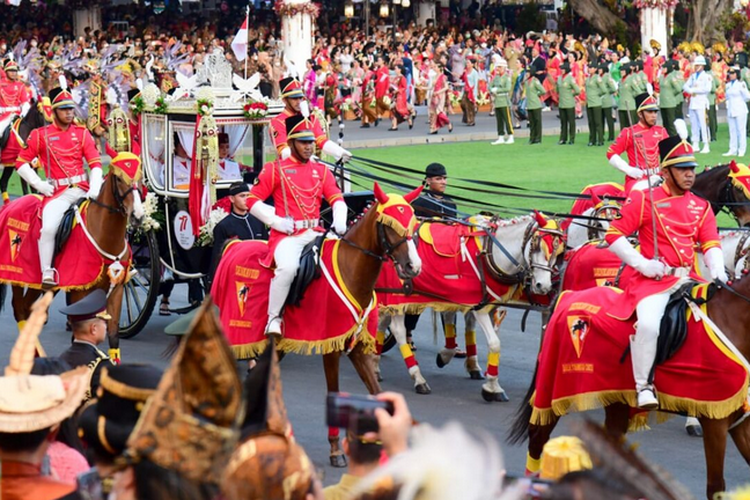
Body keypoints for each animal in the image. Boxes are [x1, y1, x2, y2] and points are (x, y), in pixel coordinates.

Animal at [0, 165, 145, 360]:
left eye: (141, 176)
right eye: (119, 178)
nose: (138, 215)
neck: (104, 235)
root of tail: (9, 205)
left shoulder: (117, 289)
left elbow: (113, 335)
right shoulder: (80, 290)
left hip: (37, 284)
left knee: (28, 309)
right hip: (18, 275)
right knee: (19, 310)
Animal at [508, 276, 750, 498]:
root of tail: (568, 295)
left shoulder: (739, 422)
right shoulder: (715, 422)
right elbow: (716, 487)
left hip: (615, 399)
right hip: (555, 389)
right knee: (538, 438)